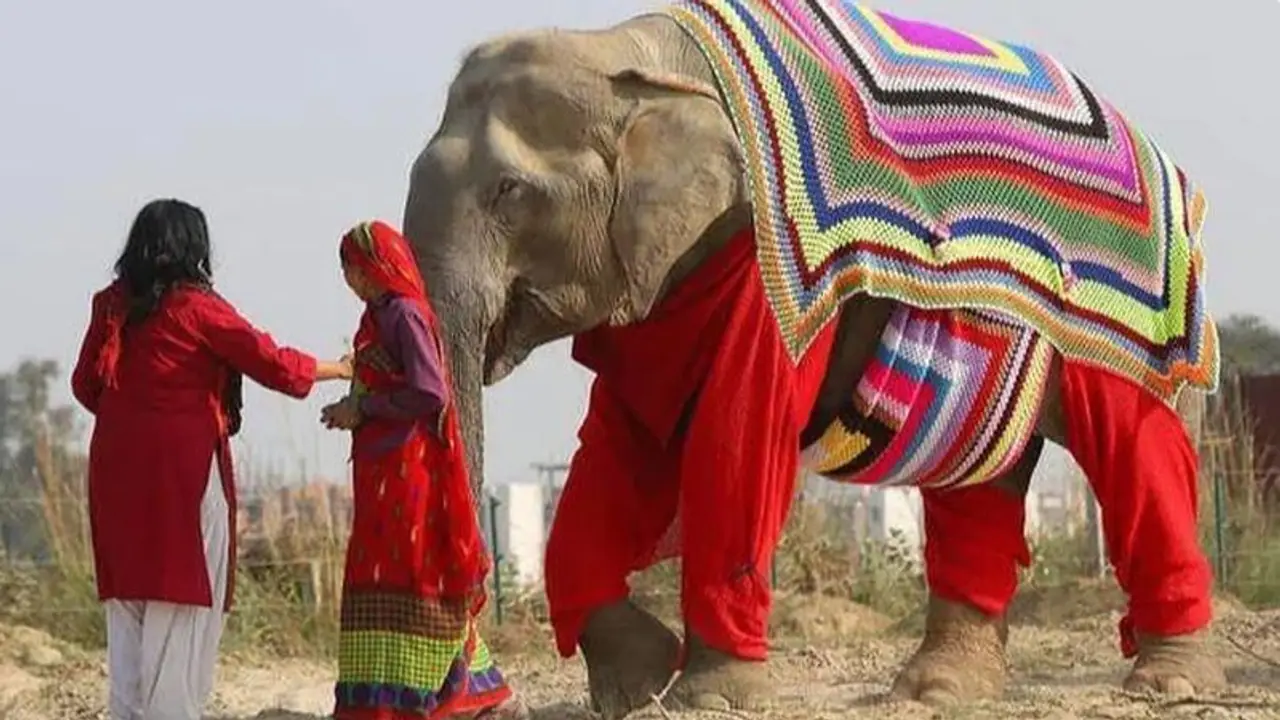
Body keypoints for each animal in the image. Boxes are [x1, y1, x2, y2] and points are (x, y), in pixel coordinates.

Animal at [400, 0, 1226, 715]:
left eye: (510, 192)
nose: (480, 697)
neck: (624, 50)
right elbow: (617, 440)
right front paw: (638, 688)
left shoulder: (765, 258)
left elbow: (737, 429)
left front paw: (711, 699)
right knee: (980, 481)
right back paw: (937, 692)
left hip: (1145, 317)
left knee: (1140, 452)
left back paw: (1169, 685)